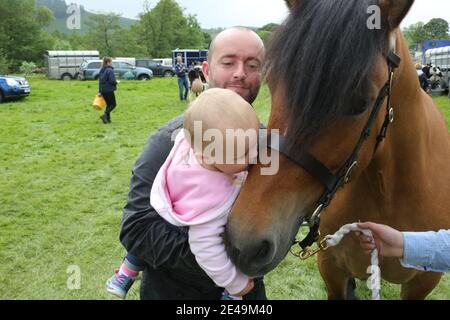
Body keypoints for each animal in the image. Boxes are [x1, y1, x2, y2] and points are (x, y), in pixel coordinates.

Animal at [227, 0, 450, 300]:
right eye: (272, 84)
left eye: (360, 103)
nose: (244, 243)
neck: (387, 192)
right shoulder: (330, 266)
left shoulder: (423, 282)